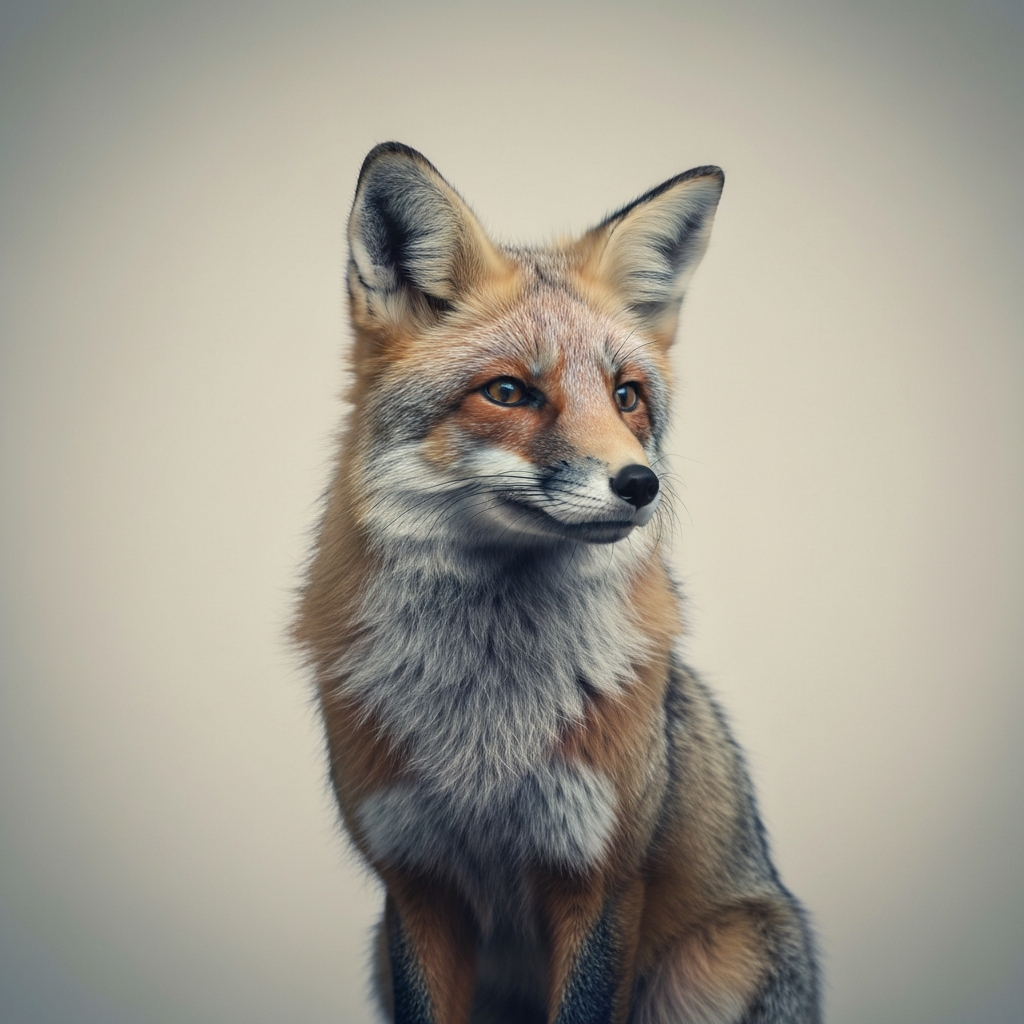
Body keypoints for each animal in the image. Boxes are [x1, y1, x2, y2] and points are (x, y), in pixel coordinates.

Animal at [293, 142, 820, 1024]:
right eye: (508, 391)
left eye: (626, 395)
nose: (640, 483)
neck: (486, 737)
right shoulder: (417, 885)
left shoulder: (601, 881)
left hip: (716, 963)